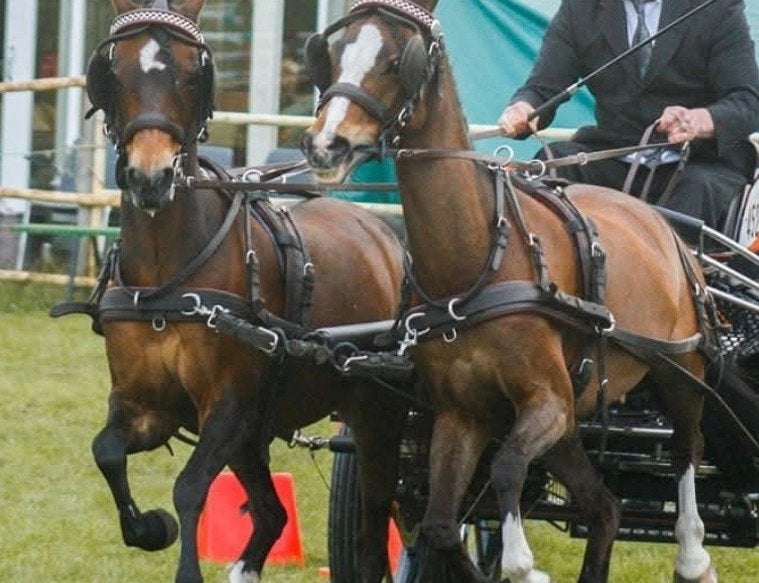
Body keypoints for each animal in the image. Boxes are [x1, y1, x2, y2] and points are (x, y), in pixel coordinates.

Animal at [77, 1, 408, 582]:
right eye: (114, 72)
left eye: (194, 72)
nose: (150, 177)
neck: (168, 278)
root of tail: (384, 235)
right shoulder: (144, 403)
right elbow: (107, 452)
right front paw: (148, 528)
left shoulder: (229, 406)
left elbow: (190, 488)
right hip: (256, 434)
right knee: (273, 513)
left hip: (376, 414)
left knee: (376, 520)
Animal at [300, 1, 757, 580]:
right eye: (331, 52)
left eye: (398, 59)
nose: (325, 144)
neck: (479, 261)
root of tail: (658, 217)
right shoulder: (462, 413)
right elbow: (441, 525)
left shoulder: (548, 401)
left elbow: (507, 465)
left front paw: (523, 565)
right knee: (605, 507)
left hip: (682, 372)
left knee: (685, 449)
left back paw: (694, 555)